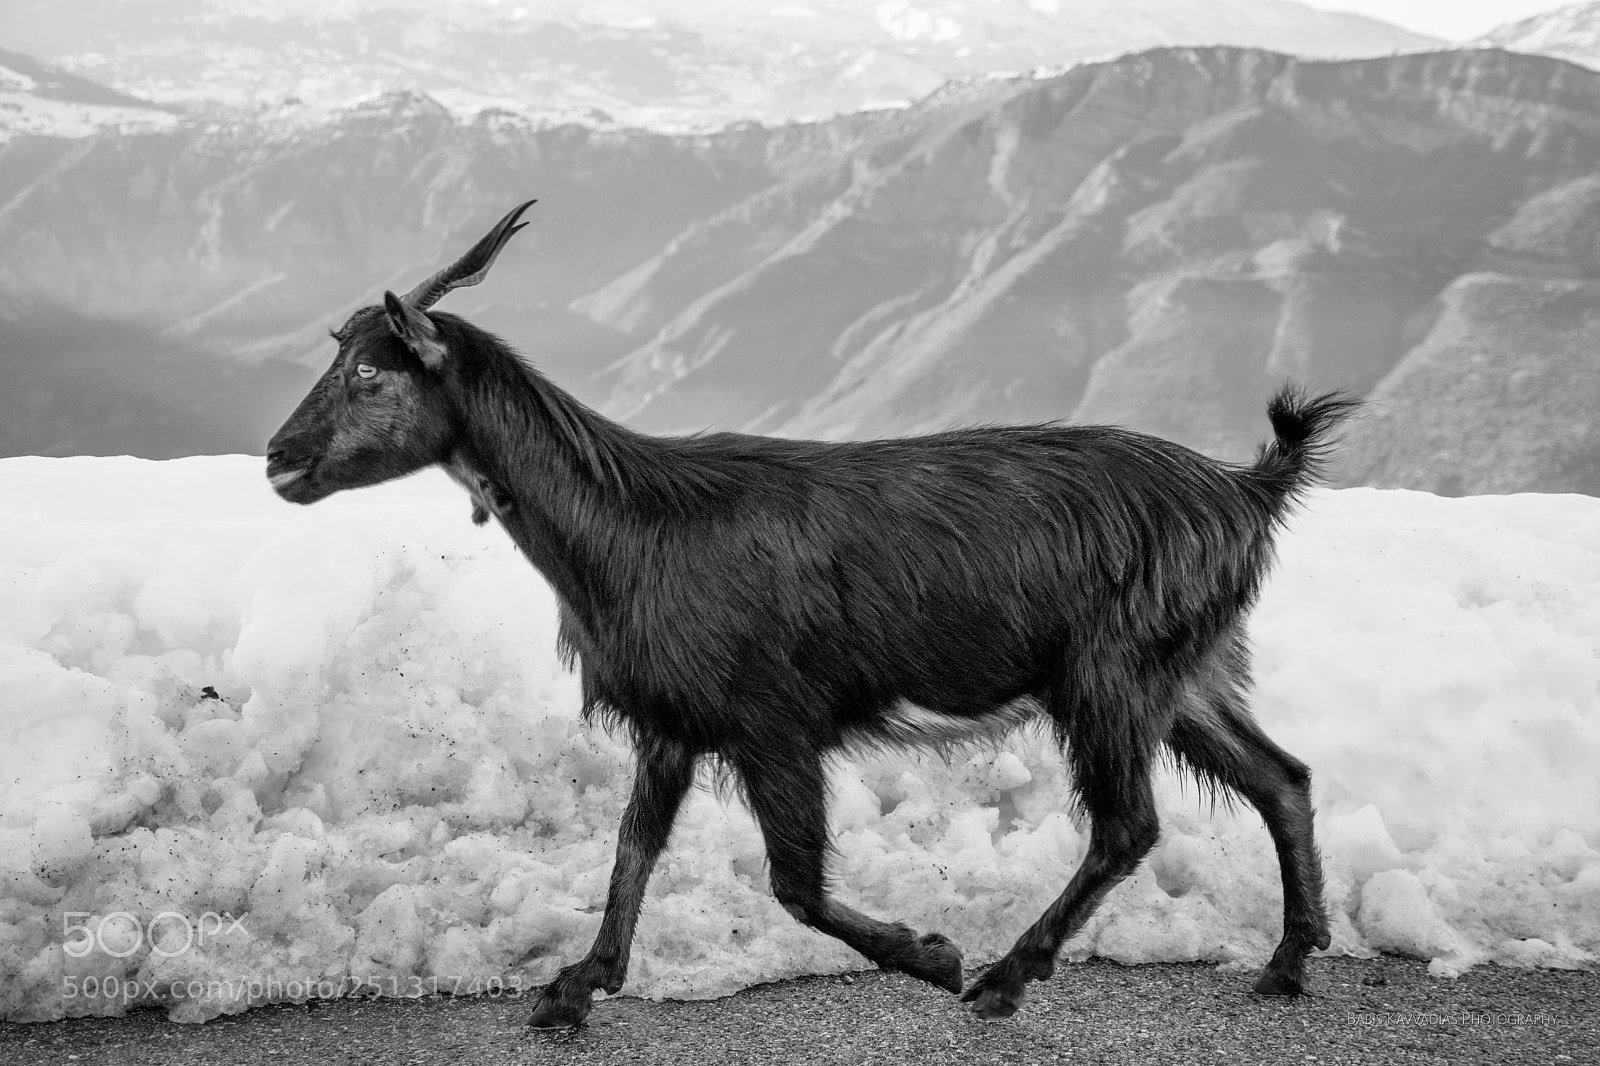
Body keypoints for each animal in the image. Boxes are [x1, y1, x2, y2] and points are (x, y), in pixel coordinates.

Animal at [266, 201, 1354, 1027]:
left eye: (369, 371)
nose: (278, 458)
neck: (634, 526)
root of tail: (1245, 489)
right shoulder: (673, 723)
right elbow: (631, 848)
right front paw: (576, 986)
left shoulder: (773, 721)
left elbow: (793, 883)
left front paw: (932, 953)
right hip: (1187, 669)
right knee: (1281, 776)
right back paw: (1287, 960)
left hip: (1112, 670)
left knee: (1129, 823)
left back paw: (1005, 976)